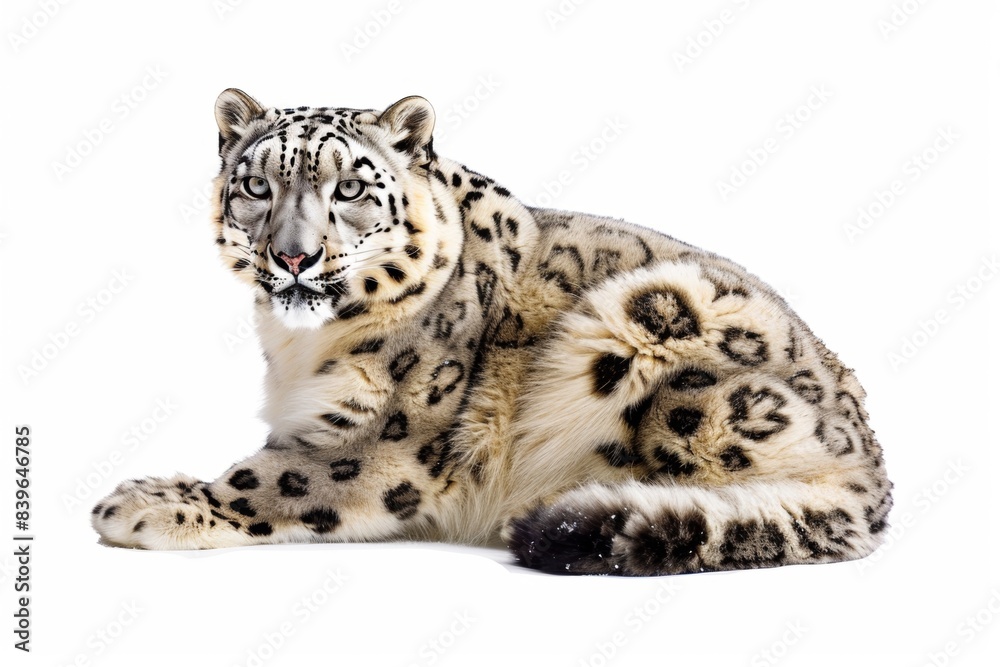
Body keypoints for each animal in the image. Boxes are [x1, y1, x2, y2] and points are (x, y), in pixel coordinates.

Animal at [91, 89, 892, 575]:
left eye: (349, 187)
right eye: (256, 185)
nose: (293, 255)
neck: (299, 348)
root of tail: (876, 463)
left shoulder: (381, 438)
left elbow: (271, 478)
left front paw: (142, 501)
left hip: (659, 318)